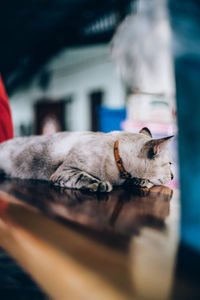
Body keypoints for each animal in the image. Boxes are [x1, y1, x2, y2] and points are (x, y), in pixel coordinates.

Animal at [0, 127, 173, 192]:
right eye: (171, 164)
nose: (173, 176)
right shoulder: (66, 170)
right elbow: (84, 177)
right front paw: (101, 185)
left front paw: (140, 182)